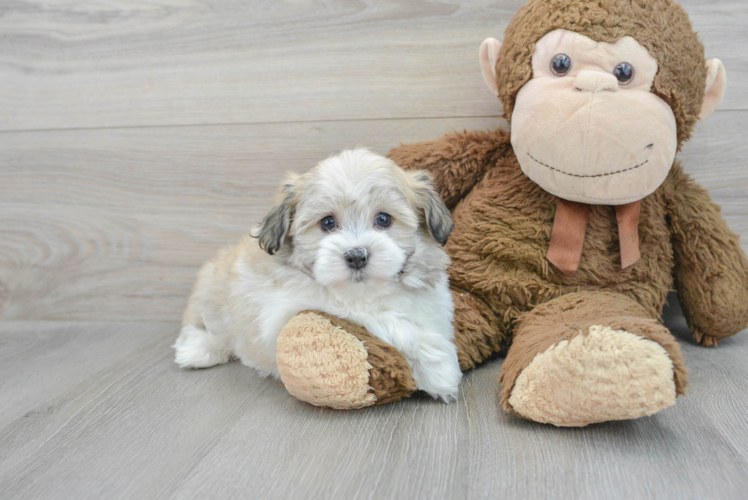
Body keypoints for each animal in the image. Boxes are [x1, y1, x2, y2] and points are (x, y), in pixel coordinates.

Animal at [174, 148, 462, 402]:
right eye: (327, 222)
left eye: (383, 219)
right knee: (203, 325)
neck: (365, 291)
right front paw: (438, 369)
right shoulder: (295, 306)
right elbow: (388, 322)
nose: (356, 256)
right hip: (211, 290)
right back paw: (197, 350)